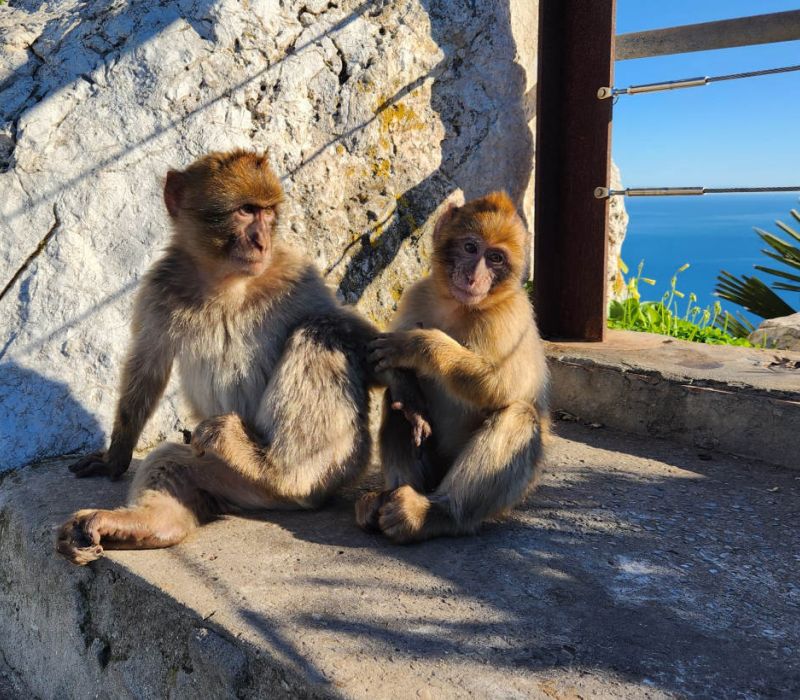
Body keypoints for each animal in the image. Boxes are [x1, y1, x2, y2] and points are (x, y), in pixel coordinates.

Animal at [56, 149, 428, 565]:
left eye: (267, 212)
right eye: (246, 210)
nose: (262, 240)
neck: (226, 280)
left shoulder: (296, 274)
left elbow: (345, 327)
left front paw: (402, 382)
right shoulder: (158, 288)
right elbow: (147, 368)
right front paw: (116, 455)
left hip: (332, 463)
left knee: (321, 329)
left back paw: (274, 469)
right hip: (228, 481)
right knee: (176, 463)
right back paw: (142, 525)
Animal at [355, 192, 550, 543]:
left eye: (496, 258)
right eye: (471, 248)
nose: (474, 276)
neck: (459, 306)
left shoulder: (509, 316)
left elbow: (501, 387)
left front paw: (418, 346)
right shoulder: (418, 294)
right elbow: (383, 362)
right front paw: (404, 383)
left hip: (513, 493)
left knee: (519, 414)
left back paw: (436, 513)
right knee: (398, 401)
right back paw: (388, 497)